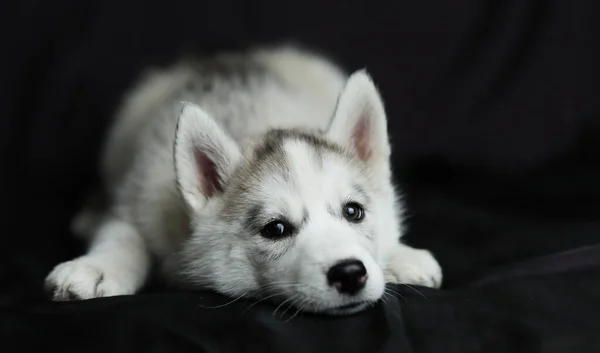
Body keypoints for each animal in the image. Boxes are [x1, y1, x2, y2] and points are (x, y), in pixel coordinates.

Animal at [44, 44, 442, 314]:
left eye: (354, 211)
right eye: (276, 229)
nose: (349, 273)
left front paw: (402, 256)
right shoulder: (138, 197)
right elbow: (123, 235)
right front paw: (96, 268)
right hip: (120, 138)